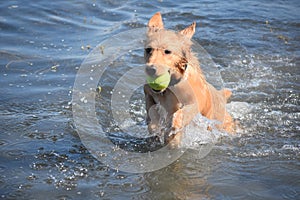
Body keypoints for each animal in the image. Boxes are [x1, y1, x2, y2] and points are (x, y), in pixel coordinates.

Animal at [144, 12, 234, 147]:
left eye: (167, 51)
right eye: (148, 50)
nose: (150, 69)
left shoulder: (194, 103)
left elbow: (180, 114)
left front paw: (173, 130)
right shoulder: (149, 95)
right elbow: (152, 115)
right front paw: (157, 129)